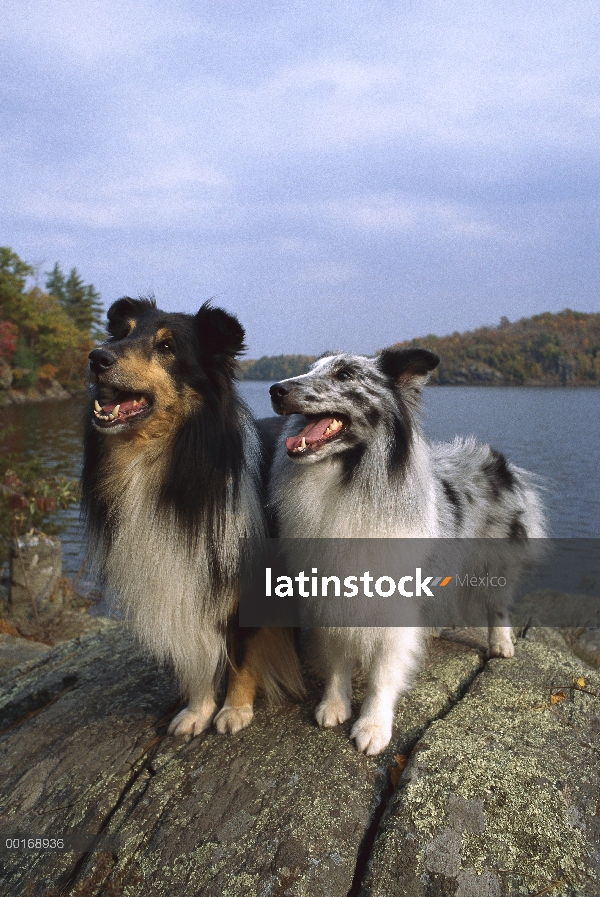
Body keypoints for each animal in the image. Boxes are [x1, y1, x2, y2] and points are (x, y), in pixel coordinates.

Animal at [270, 346, 548, 752]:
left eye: (345, 374)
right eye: (310, 369)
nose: (275, 390)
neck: (348, 480)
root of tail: (497, 461)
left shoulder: (393, 606)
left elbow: (384, 672)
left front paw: (372, 727)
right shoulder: (330, 594)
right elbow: (337, 658)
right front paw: (334, 705)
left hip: (494, 564)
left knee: (497, 605)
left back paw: (501, 644)